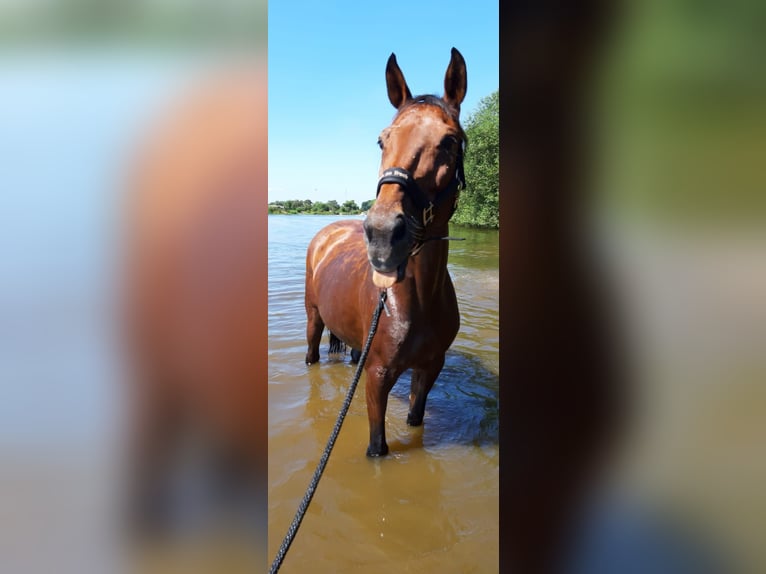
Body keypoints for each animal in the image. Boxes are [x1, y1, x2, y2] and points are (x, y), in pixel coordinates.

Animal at [304, 47, 468, 456]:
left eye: (450, 141)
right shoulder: (378, 376)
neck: (418, 300)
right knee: (312, 353)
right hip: (314, 319)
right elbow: (377, 446)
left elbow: (415, 419)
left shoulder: (429, 368)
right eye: (382, 140)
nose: (381, 234)